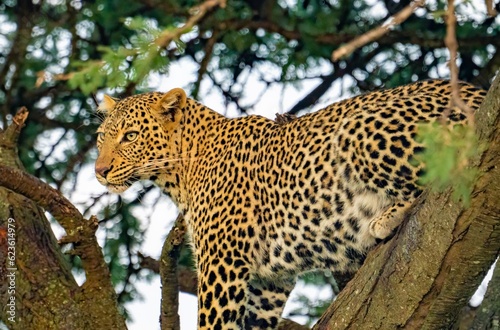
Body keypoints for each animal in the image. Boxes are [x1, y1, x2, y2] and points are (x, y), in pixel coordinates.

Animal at [94, 78, 484, 328]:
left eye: (130, 136)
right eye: (101, 138)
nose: (99, 171)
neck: (180, 172)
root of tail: (478, 90)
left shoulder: (222, 264)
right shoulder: (268, 283)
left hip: (360, 127)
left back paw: (385, 217)